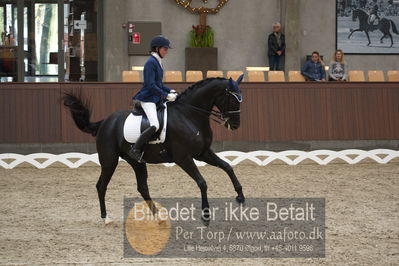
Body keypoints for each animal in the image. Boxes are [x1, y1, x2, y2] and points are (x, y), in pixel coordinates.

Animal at [63, 76, 247, 225]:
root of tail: (104, 122)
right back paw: (106, 218)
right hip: (109, 161)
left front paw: (240, 197)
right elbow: (202, 182)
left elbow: (228, 167)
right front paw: (206, 216)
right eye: (233, 100)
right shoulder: (183, 158)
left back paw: (158, 217)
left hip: (137, 162)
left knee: (142, 188)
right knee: (101, 186)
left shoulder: (203, 153)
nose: (235, 125)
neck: (189, 115)